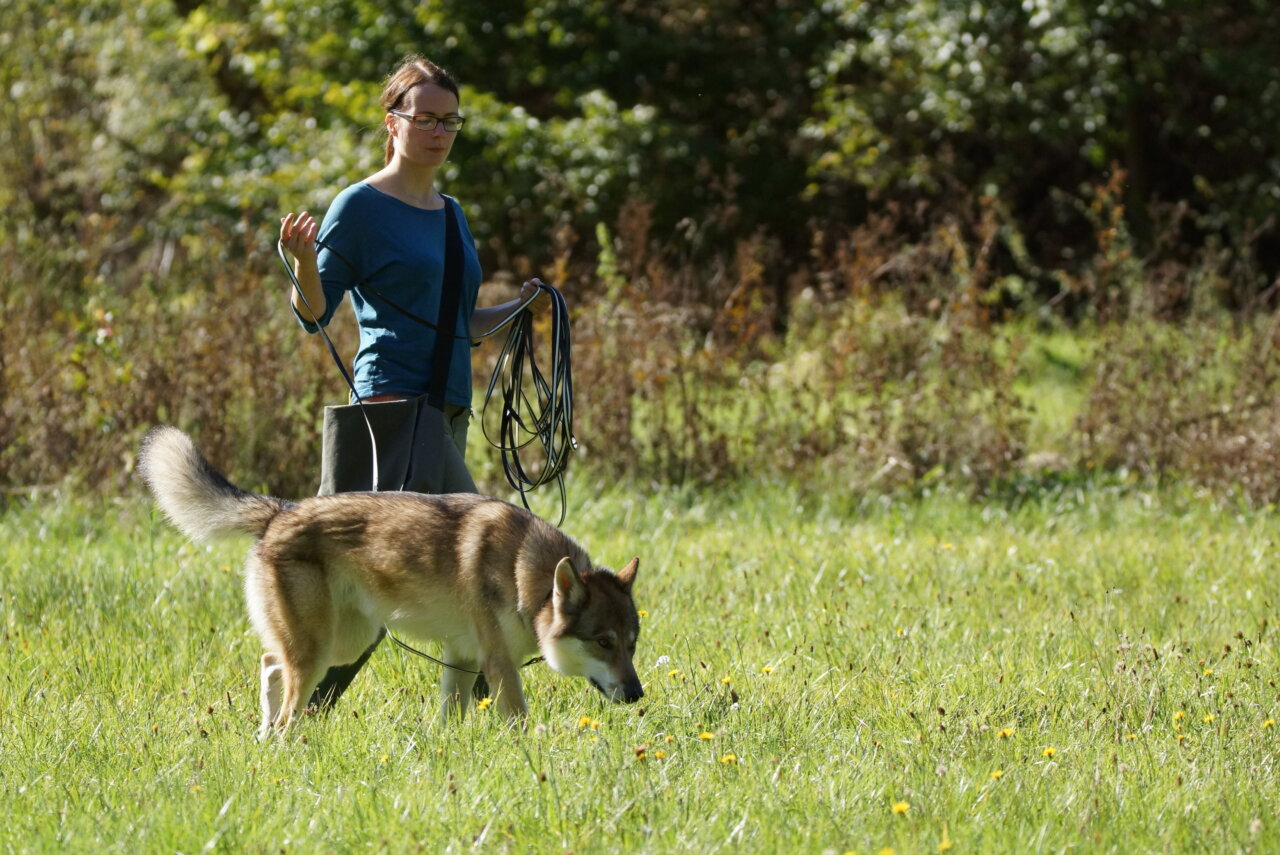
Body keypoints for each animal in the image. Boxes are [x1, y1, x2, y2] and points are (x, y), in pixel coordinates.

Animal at [136, 424, 645, 737]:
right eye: (603, 643)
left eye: (632, 645)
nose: (638, 695)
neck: (529, 580)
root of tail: (280, 511)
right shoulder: (498, 665)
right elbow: (518, 721)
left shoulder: (461, 659)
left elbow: (449, 717)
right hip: (323, 651)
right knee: (285, 705)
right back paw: (283, 746)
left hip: (344, 643)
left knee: (269, 665)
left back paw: (263, 739)